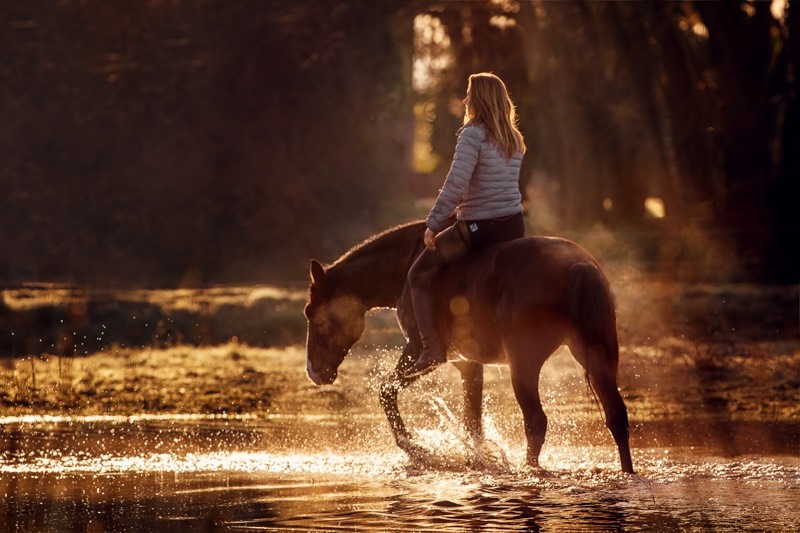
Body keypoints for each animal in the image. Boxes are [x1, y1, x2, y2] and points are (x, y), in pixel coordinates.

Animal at [304, 220, 636, 474]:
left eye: (311, 312)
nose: (314, 372)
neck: (404, 269)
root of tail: (579, 264)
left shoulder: (419, 350)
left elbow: (386, 391)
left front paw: (414, 447)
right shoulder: (469, 364)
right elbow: (472, 422)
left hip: (524, 364)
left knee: (536, 422)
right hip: (598, 358)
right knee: (616, 417)